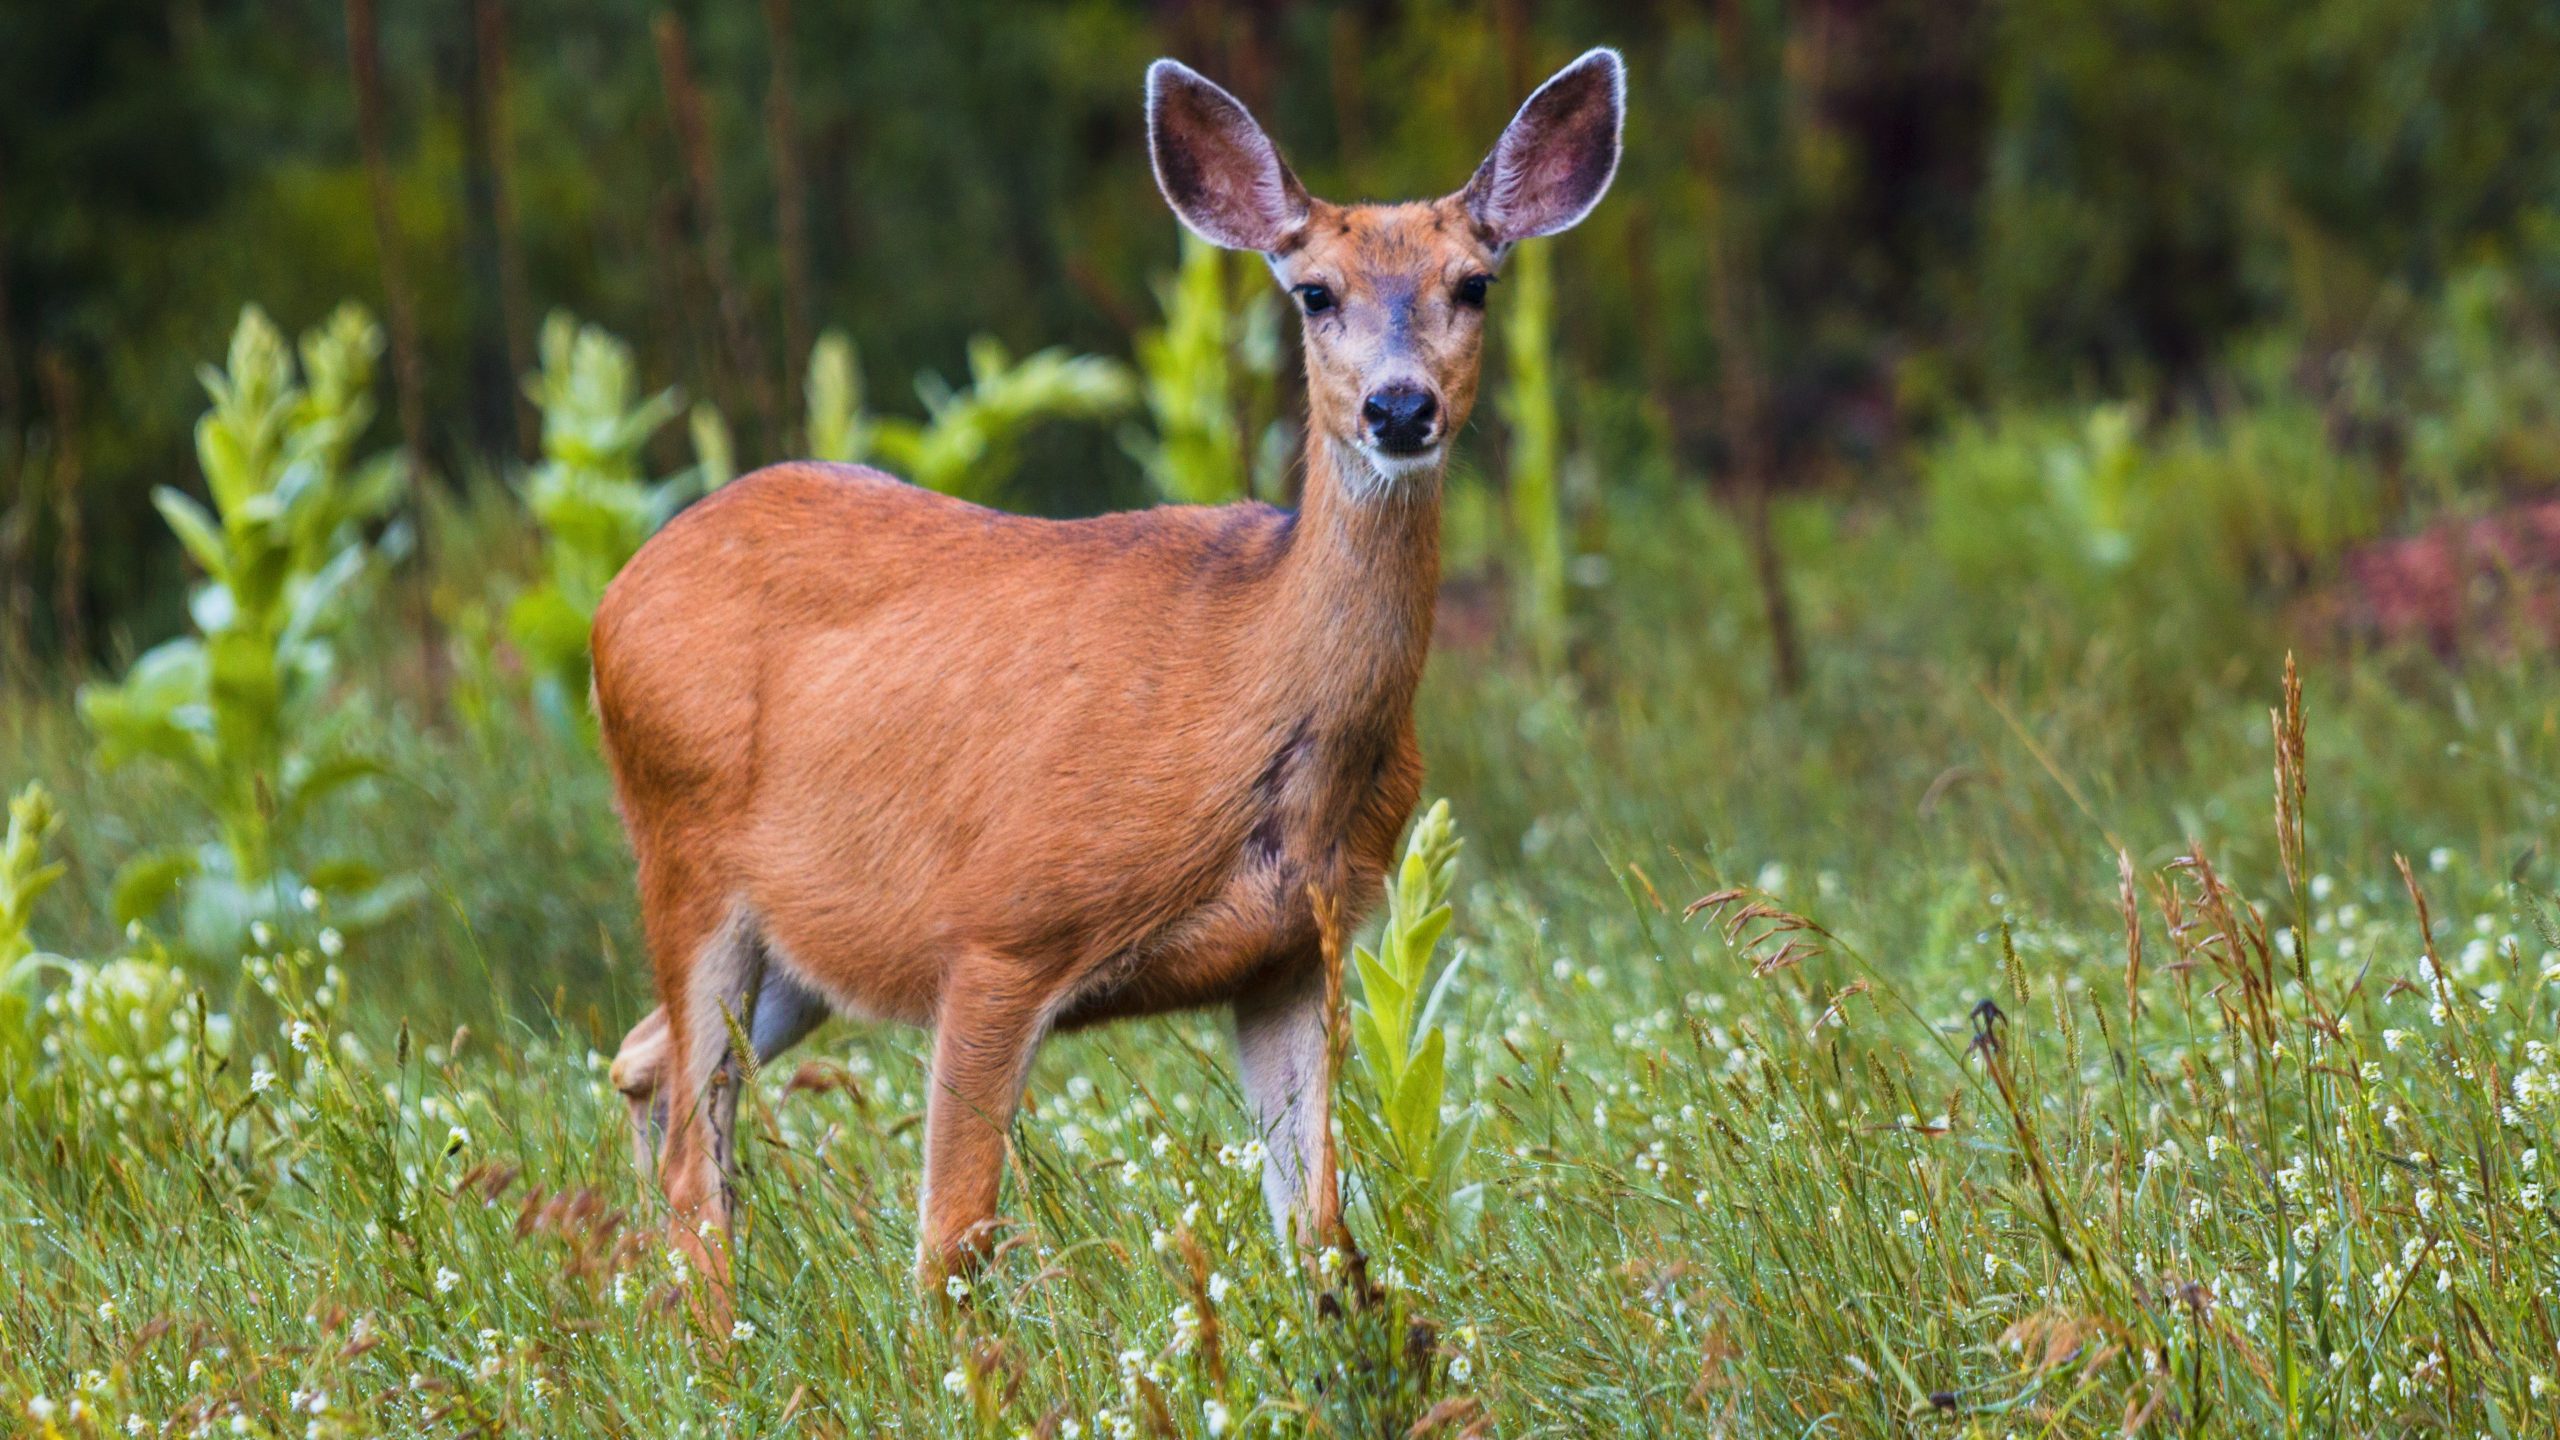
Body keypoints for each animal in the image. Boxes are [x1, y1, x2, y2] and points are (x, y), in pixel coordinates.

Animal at [599, 44, 1617, 1291]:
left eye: (1474, 284)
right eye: (1314, 293)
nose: (1398, 406)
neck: (1253, 695)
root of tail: (621, 588)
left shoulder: (1295, 950)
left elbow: (1321, 1233)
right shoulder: (999, 928)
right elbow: (950, 1245)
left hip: (796, 936)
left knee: (645, 1064)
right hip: (683, 849)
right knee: (693, 1155)